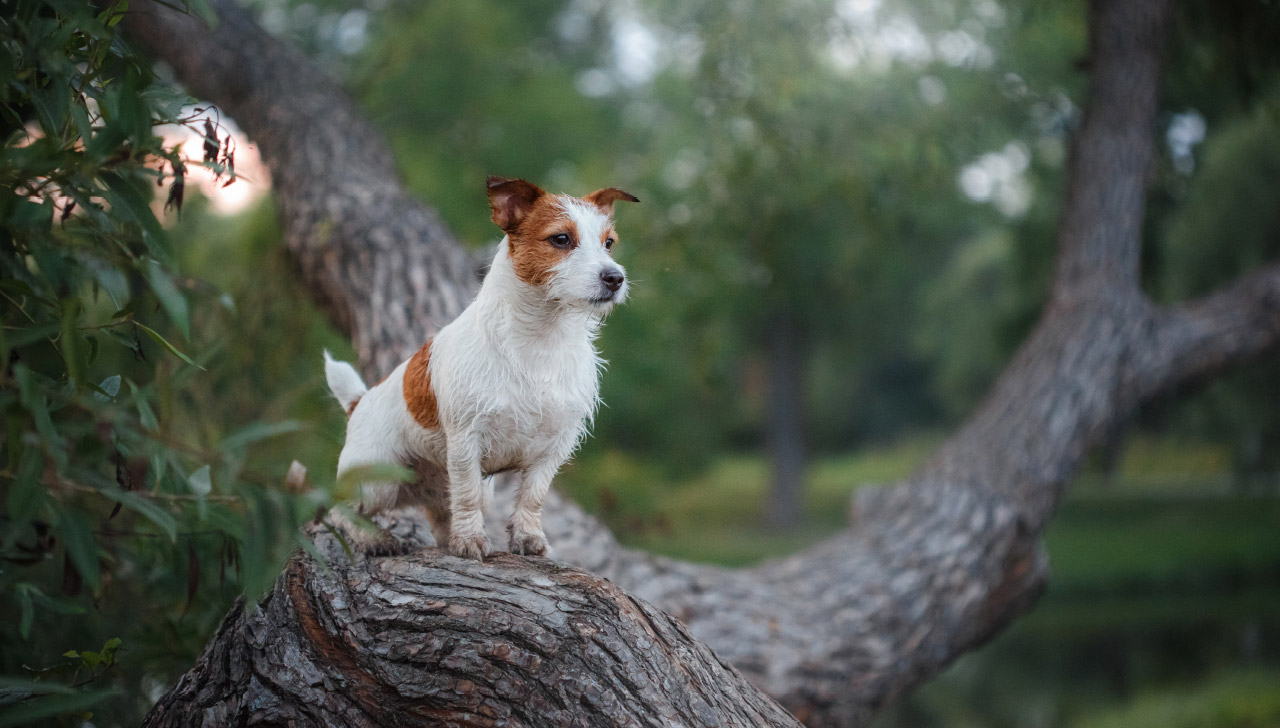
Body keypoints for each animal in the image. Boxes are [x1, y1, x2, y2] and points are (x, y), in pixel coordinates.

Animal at [322, 174, 637, 555]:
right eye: (561, 239)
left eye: (609, 243)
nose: (615, 278)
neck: (543, 338)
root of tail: (359, 401)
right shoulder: (465, 441)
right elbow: (468, 493)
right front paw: (471, 541)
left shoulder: (554, 446)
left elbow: (532, 496)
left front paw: (528, 538)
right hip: (377, 480)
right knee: (340, 511)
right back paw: (374, 538)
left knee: (441, 515)